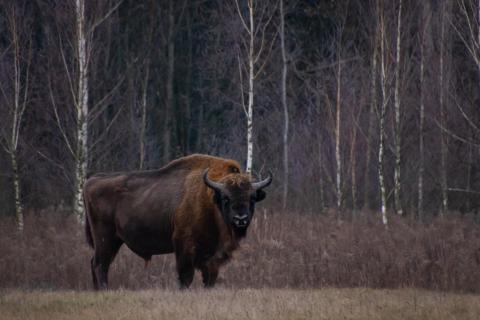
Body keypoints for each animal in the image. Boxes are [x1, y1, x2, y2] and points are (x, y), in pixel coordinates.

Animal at [82, 154, 270, 288]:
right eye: (226, 198)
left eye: (252, 198)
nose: (240, 219)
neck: (210, 199)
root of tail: (91, 180)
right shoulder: (184, 245)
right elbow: (186, 276)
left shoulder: (212, 257)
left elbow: (209, 278)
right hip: (105, 239)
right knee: (100, 265)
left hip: (113, 241)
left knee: (95, 263)